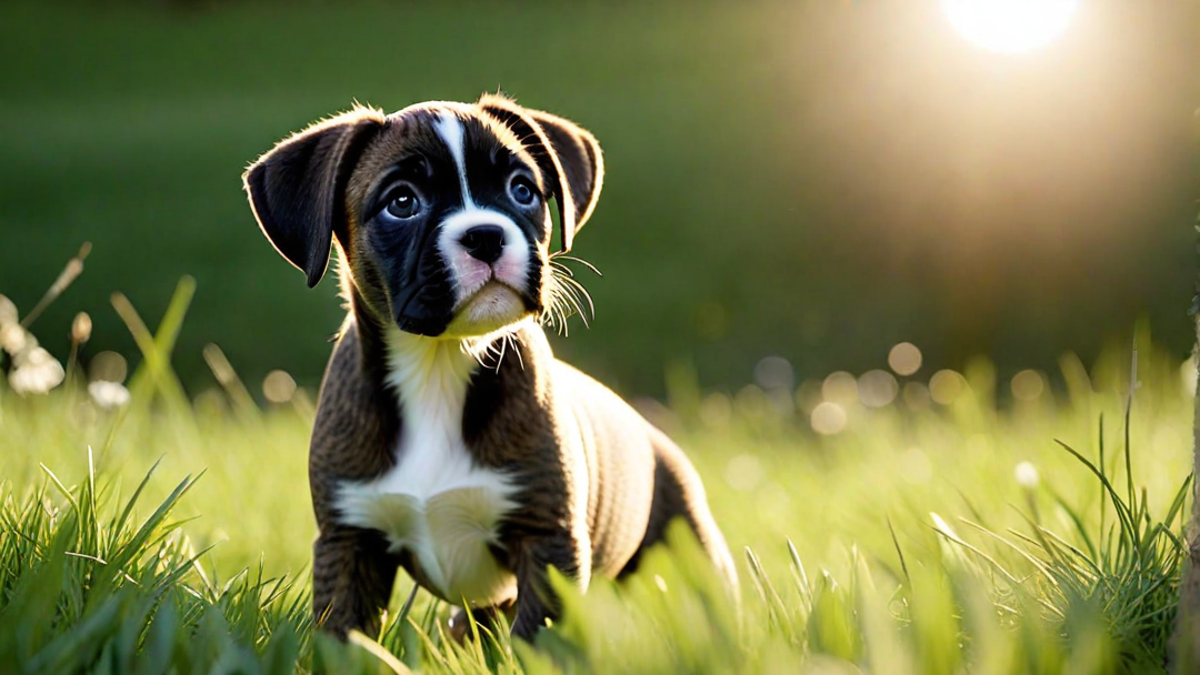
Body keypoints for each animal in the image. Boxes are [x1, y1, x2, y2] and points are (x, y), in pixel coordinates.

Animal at [240, 93, 734, 634]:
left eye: (522, 190)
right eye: (402, 202)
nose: (485, 235)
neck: (439, 366)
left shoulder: (546, 541)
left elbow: (538, 640)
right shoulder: (349, 540)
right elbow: (343, 636)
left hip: (690, 549)